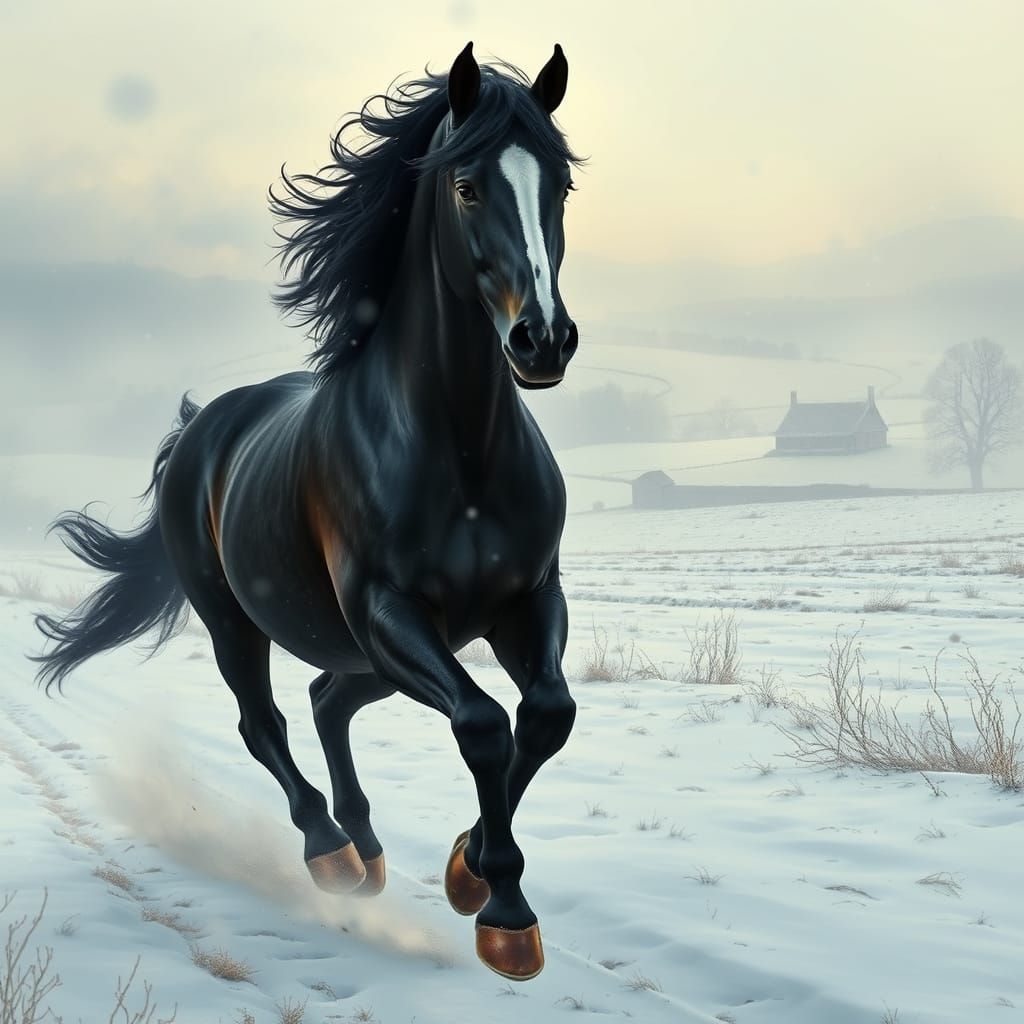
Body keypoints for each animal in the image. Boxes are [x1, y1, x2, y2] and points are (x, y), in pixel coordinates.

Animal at [32, 42, 583, 981]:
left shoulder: (529, 600)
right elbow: (483, 723)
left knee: (329, 699)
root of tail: (200, 427)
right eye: (468, 186)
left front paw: (469, 872)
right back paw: (332, 854)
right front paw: (502, 911)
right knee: (268, 720)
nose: (542, 341)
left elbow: (545, 715)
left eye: (562, 186)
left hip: (366, 649)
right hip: (240, 620)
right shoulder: (391, 610)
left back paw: (369, 850)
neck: (462, 451)